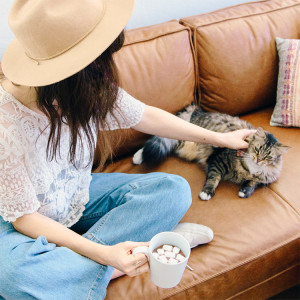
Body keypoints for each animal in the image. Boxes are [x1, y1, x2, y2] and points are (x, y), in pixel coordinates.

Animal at [133, 104, 288, 200]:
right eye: (257, 149)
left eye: (268, 156)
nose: (258, 160)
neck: (249, 171)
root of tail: (197, 111)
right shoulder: (217, 161)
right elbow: (213, 178)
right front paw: (206, 193)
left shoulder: (264, 178)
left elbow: (253, 183)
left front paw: (244, 192)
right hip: (180, 138)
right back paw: (137, 157)